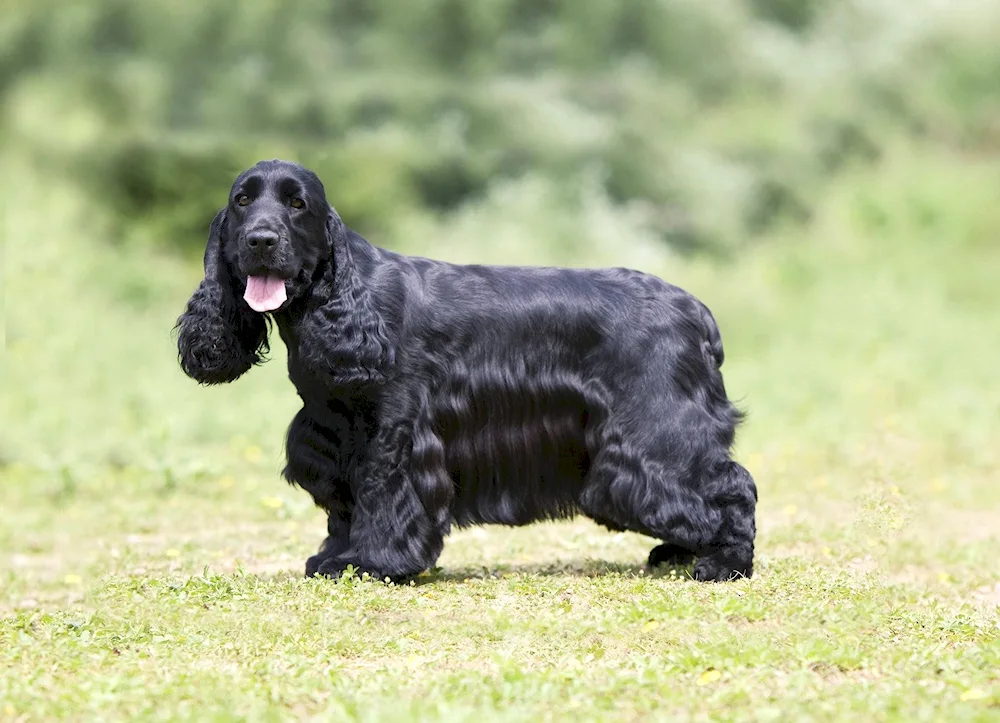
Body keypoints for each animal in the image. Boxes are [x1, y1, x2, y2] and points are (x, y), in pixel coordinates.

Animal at [178, 158, 756, 584]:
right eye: (242, 201)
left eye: (297, 204)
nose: (261, 240)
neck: (341, 298)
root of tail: (695, 309)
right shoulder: (331, 432)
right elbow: (344, 503)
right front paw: (333, 557)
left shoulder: (396, 431)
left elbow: (381, 491)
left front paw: (373, 562)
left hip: (655, 432)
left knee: (732, 486)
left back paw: (721, 563)